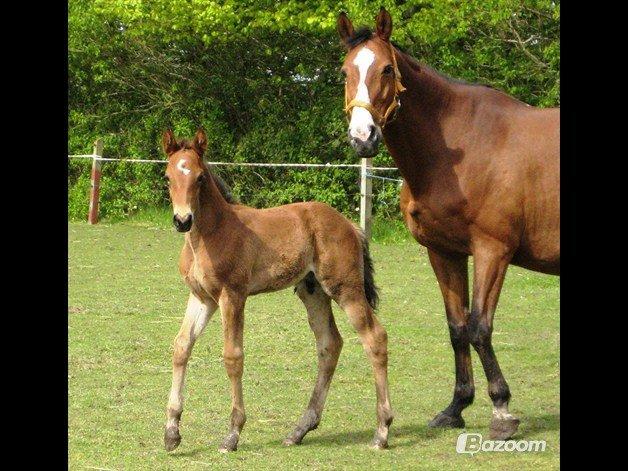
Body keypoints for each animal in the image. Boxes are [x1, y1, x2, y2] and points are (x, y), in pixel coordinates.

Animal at [159, 129, 390, 454]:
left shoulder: (232, 295)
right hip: (312, 291)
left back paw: (382, 431)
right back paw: (300, 429)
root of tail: (349, 224)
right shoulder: (202, 298)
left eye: (200, 177)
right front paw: (172, 432)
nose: (183, 220)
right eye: (167, 176)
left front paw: (232, 434)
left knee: (375, 338)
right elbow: (181, 347)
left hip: (345, 289)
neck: (210, 234)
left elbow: (233, 356)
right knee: (330, 344)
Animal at [338, 8, 560, 442]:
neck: (462, 149)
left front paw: (502, 410)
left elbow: (480, 327)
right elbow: (457, 327)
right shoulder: (444, 252)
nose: (362, 137)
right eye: (345, 71)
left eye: (386, 69)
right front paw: (457, 407)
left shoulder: (493, 251)